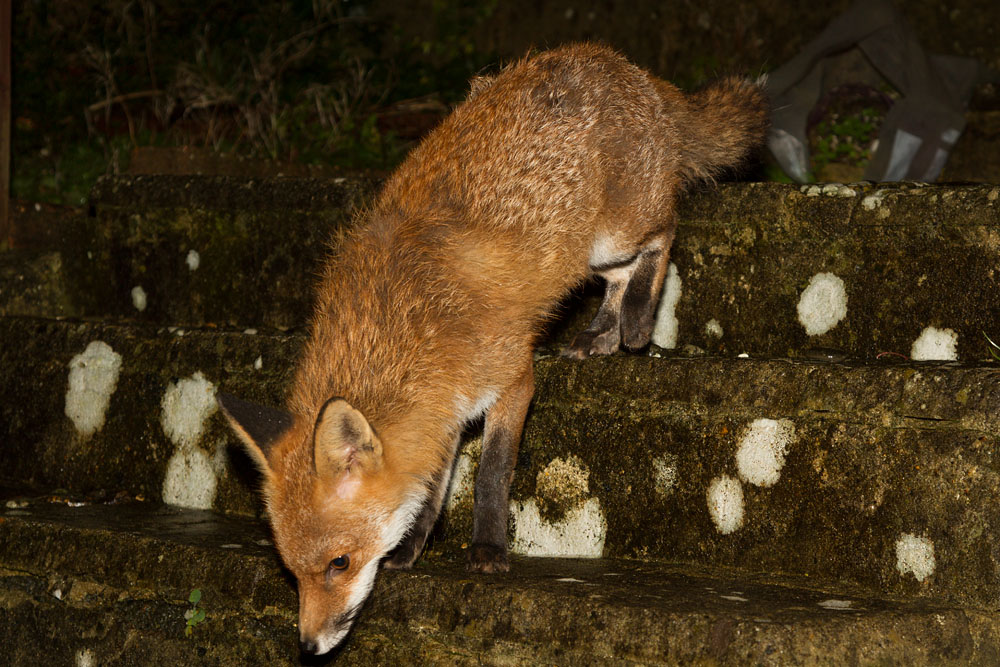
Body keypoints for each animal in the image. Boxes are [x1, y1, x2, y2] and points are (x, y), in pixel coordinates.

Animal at [218, 42, 768, 656]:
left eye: (340, 563)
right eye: (292, 573)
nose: (309, 647)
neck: (404, 333)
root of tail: (621, 64)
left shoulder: (511, 379)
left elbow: (490, 474)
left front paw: (487, 551)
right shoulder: (440, 412)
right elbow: (431, 489)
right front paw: (412, 548)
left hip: (616, 233)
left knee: (663, 235)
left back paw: (637, 322)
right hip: (591, 251)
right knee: (618, 277)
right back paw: (601, 334)